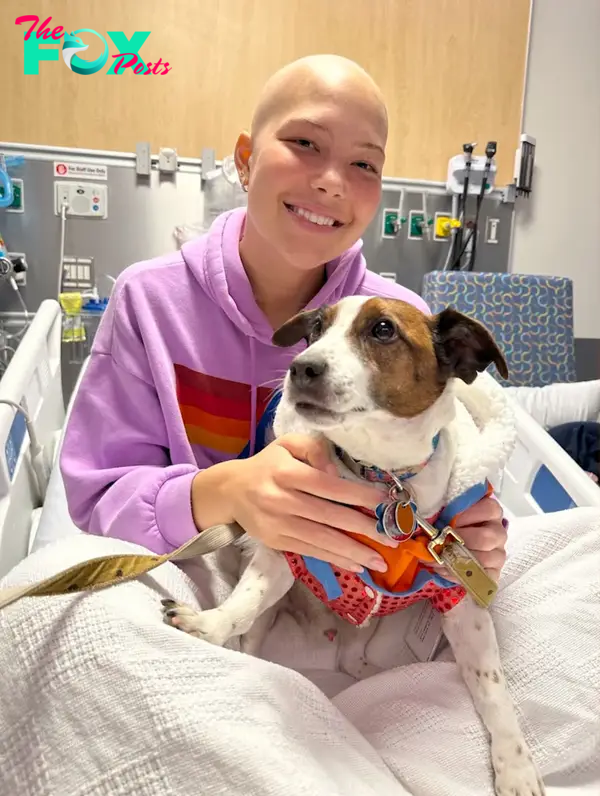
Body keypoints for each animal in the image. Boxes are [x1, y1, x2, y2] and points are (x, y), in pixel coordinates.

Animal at [162, 296, 548, 792]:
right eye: (316, 330)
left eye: (383, 329)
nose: (300, 368)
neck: (386, 479)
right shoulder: (289, 548)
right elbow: (245, 603)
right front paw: (208, 626)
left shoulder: (458, 589)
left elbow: (493, 687)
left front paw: (515, 767)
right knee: (260, 632)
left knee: (349, 656)